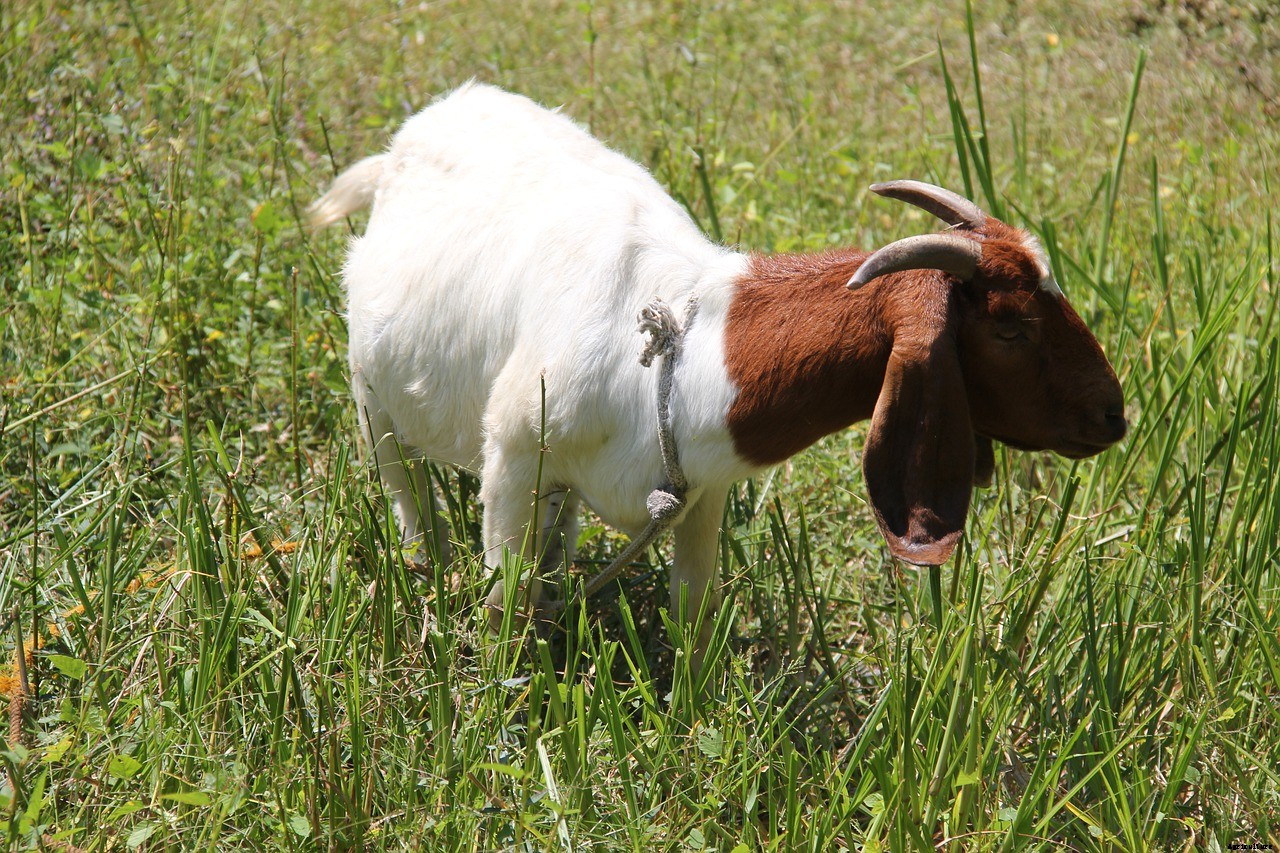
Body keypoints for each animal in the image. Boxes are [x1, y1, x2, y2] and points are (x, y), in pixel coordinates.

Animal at [310, 82, 1126, 657]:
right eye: (1011, 325)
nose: (1114, 416)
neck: (675, 345)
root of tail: (413, 137)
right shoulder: (513, 456)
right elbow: (501, 606)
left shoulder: (699, 495)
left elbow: (692, 618)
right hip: (369, 392)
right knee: (405, 490)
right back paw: (424, 562)